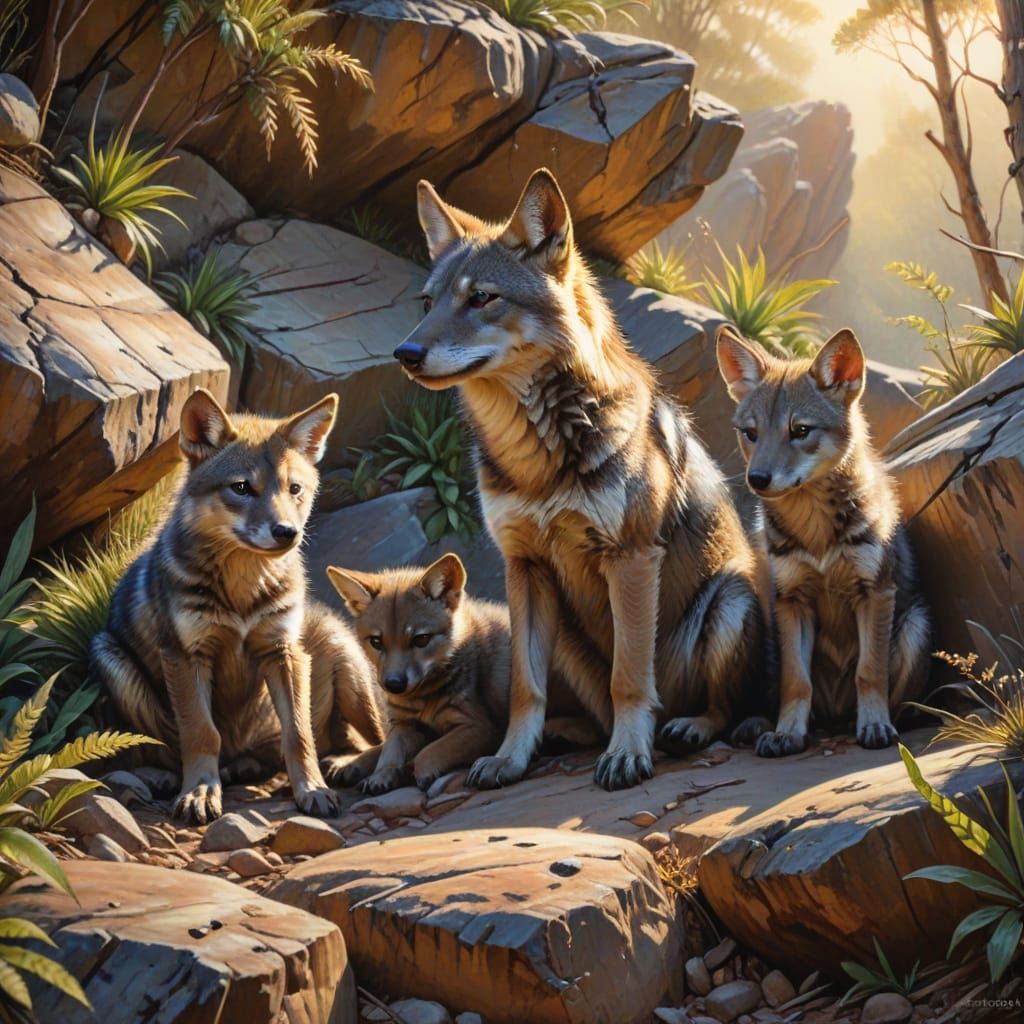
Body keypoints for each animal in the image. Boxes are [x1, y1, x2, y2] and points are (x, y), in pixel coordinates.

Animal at [90, 388, 386, 822]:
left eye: (294, 489)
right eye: (242, 488)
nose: (287, 532)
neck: (242, 590)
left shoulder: (283, 653)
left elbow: (299, 735)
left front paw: (312, 790)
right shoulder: (185, 656)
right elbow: (201, 733)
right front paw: (199, 792)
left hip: (348, 668)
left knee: (383, 738)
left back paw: (345, 766)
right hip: (108, 656)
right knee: (157, 747)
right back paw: (170, 776)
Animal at [325, 553, 515, 794]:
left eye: (421, 639)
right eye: (376, 642)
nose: (394, 684)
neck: (422, 700)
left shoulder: (479, 727)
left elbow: (426, 754)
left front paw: (412, 771)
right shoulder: (403, 724)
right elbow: (389, 751)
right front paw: (381, 774)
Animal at [391, 168, 767, 791]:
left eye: (481, 297)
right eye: (427, 302)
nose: (406, 352)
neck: (537, 459)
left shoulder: (632, 557)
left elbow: (630, 679)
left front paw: (628, 755)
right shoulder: (524, 567)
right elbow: (526, 689)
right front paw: (509, 758)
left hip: (729, 602)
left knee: (718, 706)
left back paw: (683, 728)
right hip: (563, 630)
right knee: (588, 711)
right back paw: (565, 736)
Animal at [716, 326, 930, 755]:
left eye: (800, 430)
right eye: (750, 434)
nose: (757, 479)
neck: (815, 532)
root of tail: (833, 715)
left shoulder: (875, 594)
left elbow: (870, 673)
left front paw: (875, 725)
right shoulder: (791, 600)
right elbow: (796, 683)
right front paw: (788, 733)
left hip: (914, 625)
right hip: (767, 636)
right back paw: (758, 726)